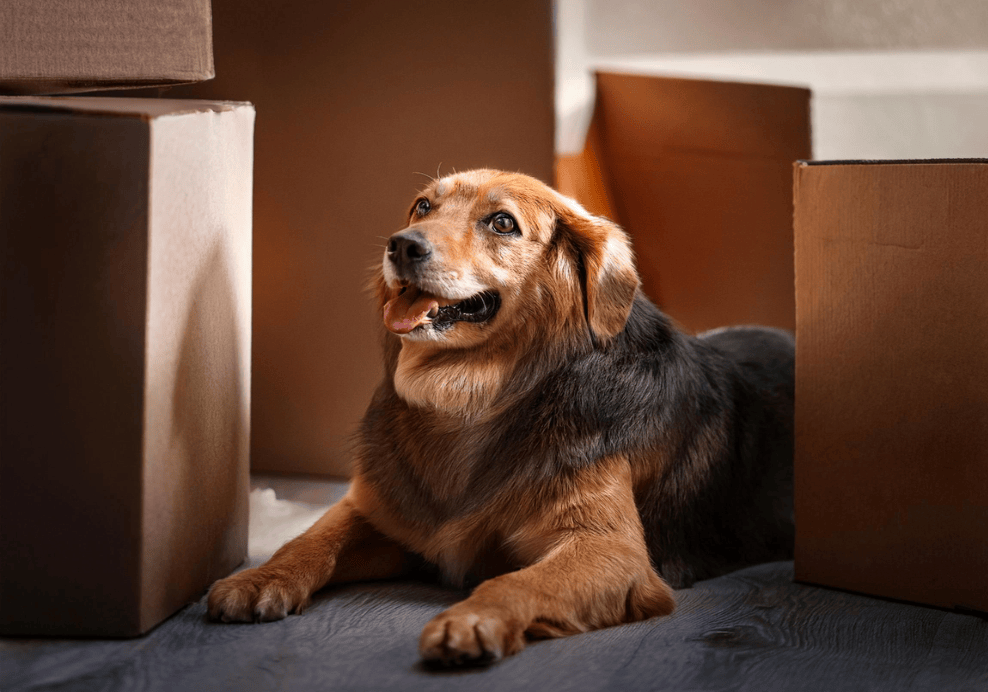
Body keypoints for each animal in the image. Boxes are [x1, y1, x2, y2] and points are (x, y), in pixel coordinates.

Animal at [208, 168, 796, 664]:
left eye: (502, 223)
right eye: (422, 206)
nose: (402, 244)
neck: (475, 396)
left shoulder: (613, 553)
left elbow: (519, 581)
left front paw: (472, 619)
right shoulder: (377, 512)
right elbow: (309, 540)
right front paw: (258, 577)